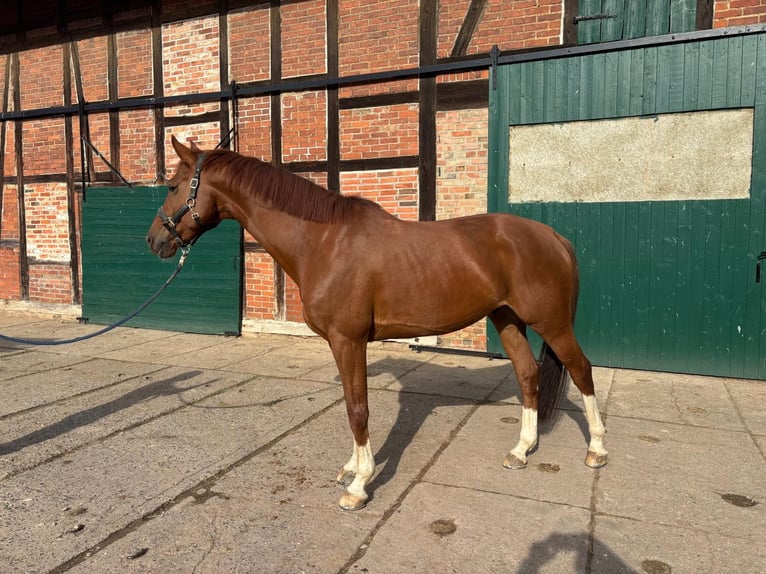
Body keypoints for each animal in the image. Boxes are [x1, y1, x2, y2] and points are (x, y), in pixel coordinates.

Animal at [146, 136, 608, 511]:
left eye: (172, 186)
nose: (154, 240)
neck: (324, 241)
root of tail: (553, 236)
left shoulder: (348, 340)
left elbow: (357, 408)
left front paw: (359, 486)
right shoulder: (342, 343)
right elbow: (351, 404)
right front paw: (352, 469)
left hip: (550, 323)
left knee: (581, 370)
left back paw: (597, 449)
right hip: (507, 319)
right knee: (528, 375)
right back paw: (521, 450)